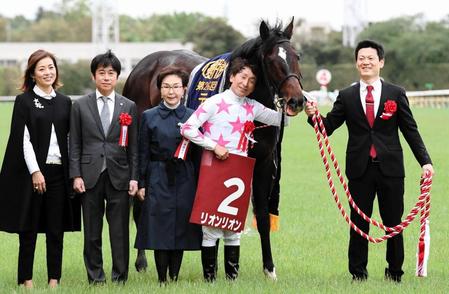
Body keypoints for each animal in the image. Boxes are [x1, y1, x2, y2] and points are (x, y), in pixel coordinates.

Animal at [123, 19, 300, 278]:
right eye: (271, 60)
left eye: (297, 56)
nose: (298, 100)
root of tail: (141, 67)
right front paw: (213, 268)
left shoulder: (263, 162)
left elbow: (262, 216)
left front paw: (269, 269)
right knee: (139, 205)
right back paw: (141, 261)